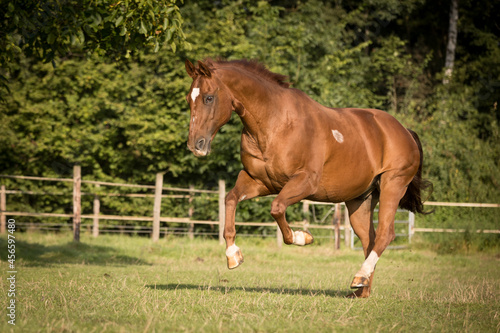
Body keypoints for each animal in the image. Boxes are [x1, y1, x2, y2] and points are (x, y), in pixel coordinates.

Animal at [184, 58, 430, 296]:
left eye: (208, 97)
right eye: (189, 99)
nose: (196, 145)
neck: (275, 123)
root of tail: (405, 131)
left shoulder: (304, 182)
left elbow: (277, 209)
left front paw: (303, 237)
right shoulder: (259, 181)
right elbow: (230, 200)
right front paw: (233, 255)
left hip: (392, 185)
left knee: (385, 234)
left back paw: (360, 277)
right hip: (360, 200)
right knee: (368, 239)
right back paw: (362, 289)